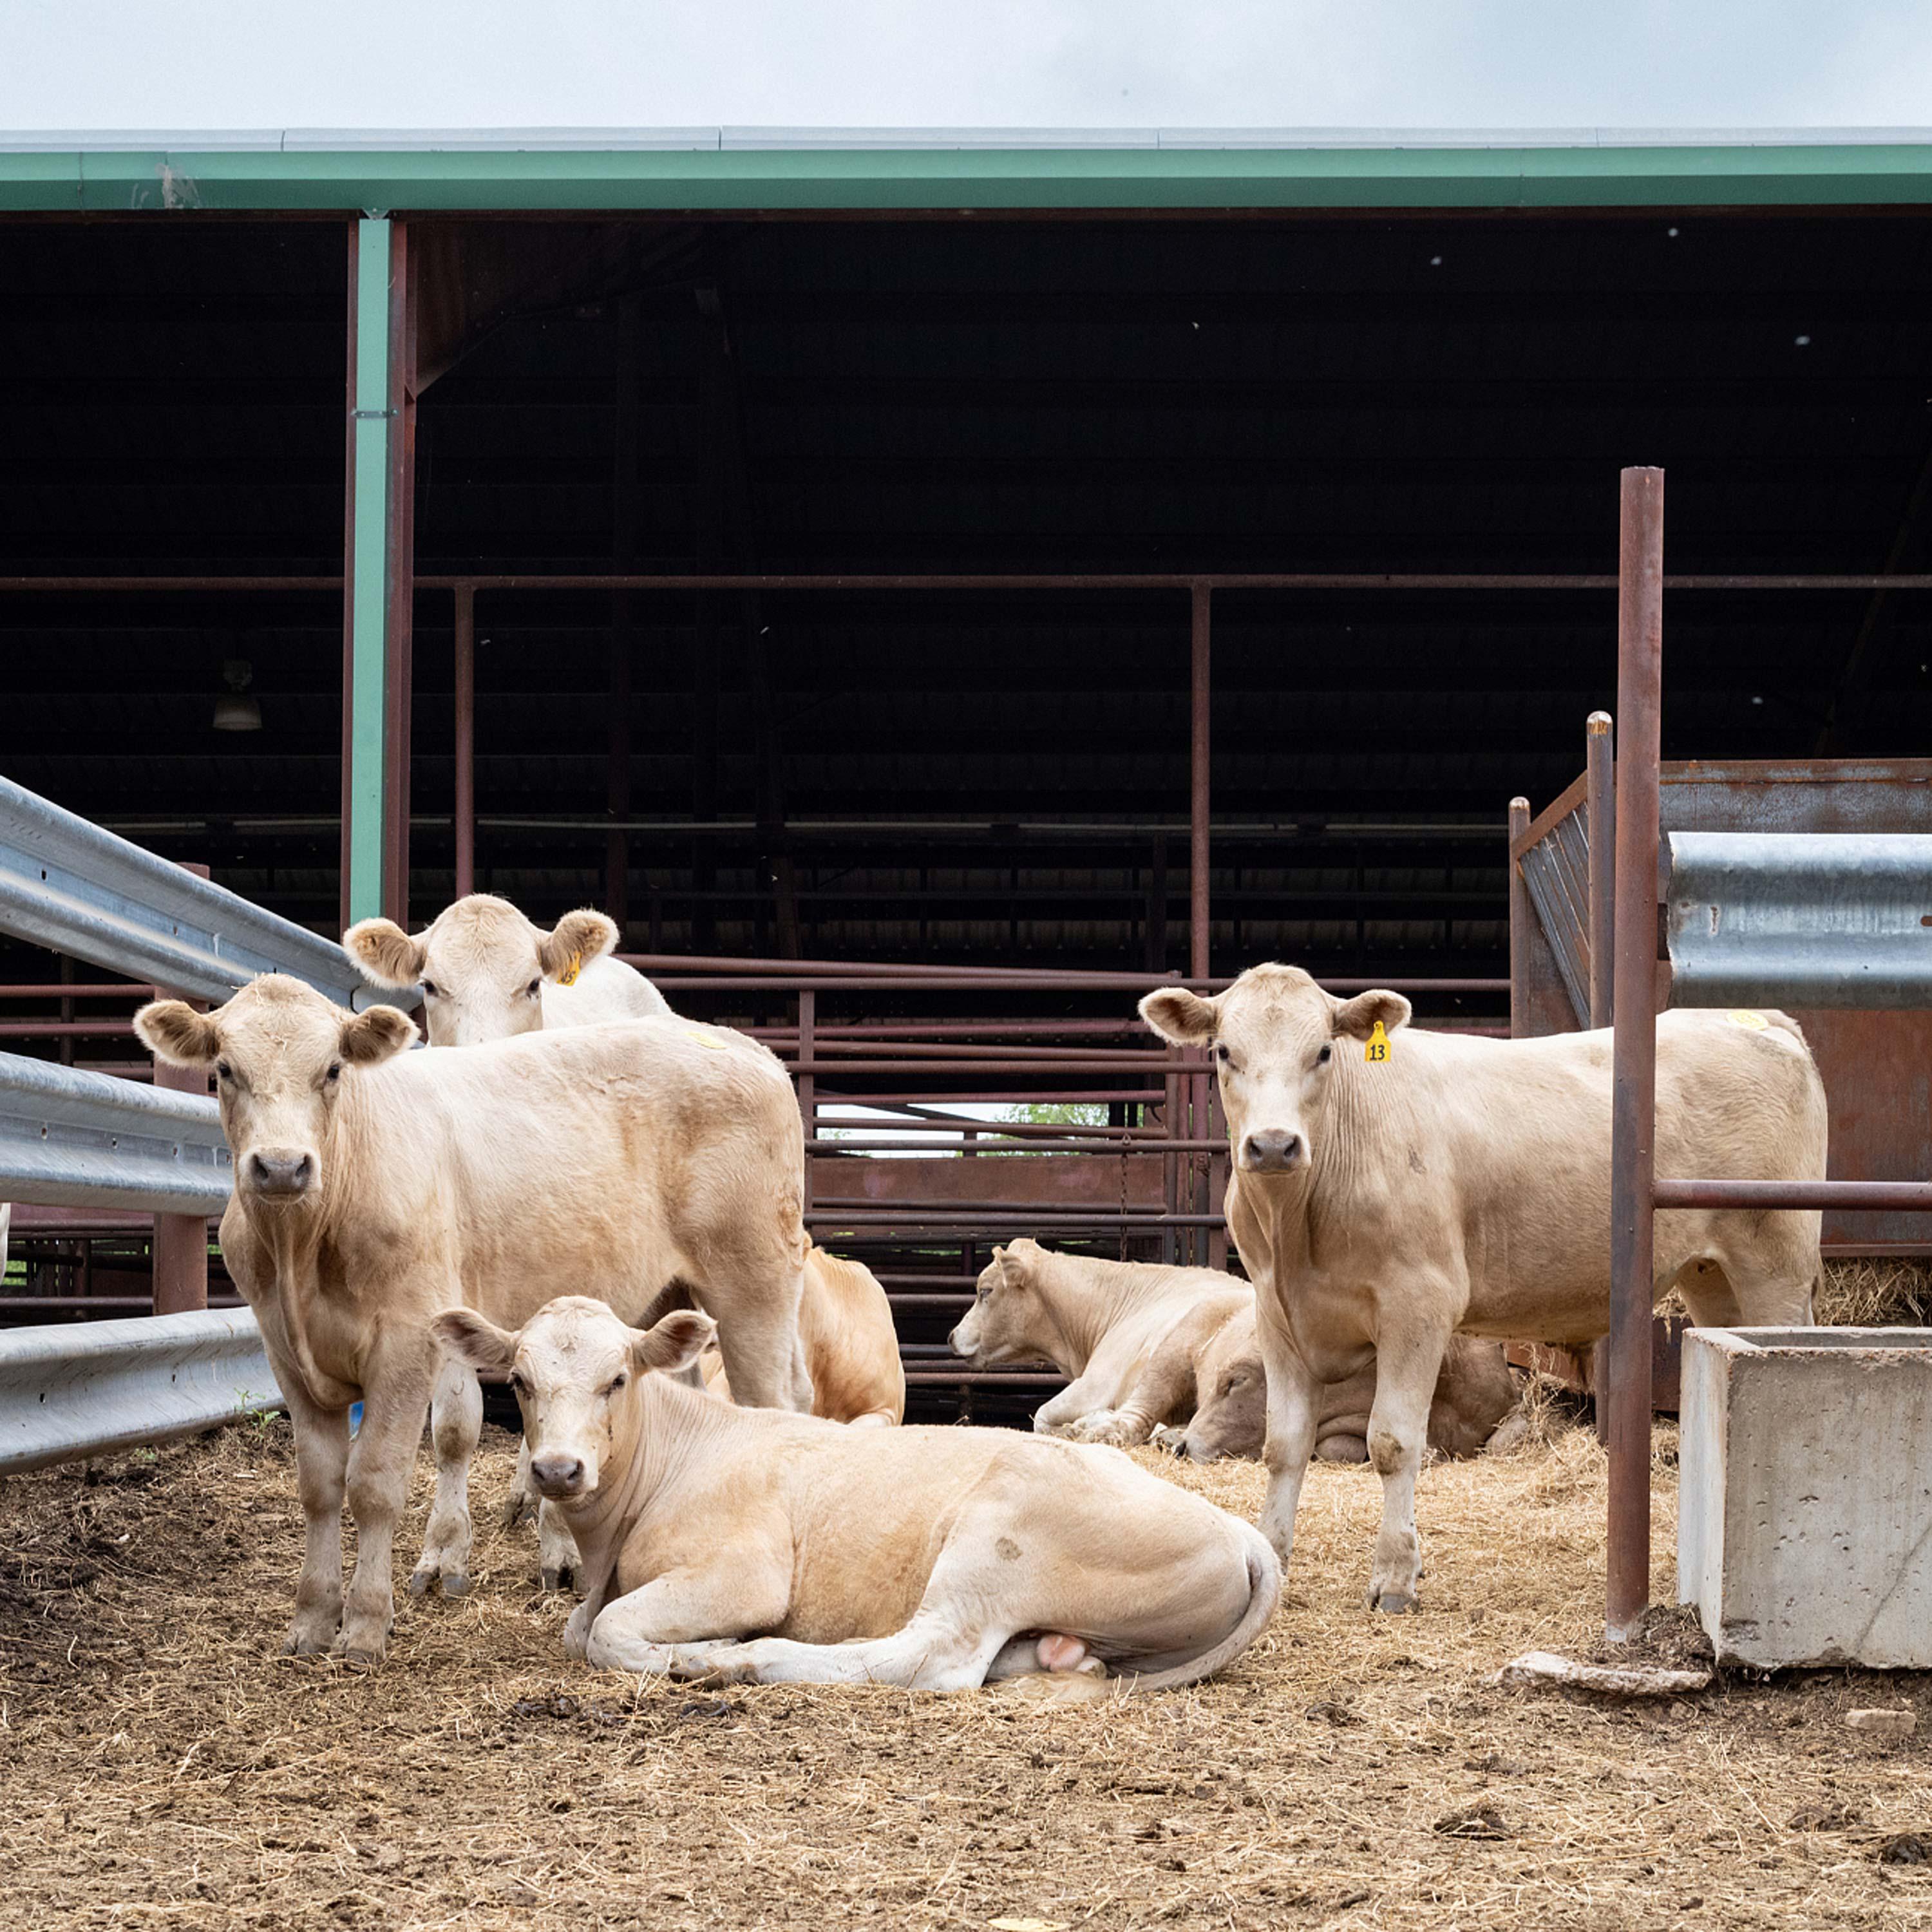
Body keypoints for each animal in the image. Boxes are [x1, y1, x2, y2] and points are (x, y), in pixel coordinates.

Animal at [132, 974, 810, 1663]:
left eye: (333, 1070)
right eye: (223, 1070)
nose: (280, 1165)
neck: (302, 1246)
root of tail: (743, 1048)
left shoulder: (405, 1342)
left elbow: (374, 1482)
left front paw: (366, 1625)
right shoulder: (284, 1352)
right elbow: (320, 1485)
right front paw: (313, 1621)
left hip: (754, 1281)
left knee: (775, 1399)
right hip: (668, 1296)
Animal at [433, 1295, 1280, 1694]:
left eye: (617, 1379)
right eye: (519, 1381)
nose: (557, 1470)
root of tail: (1242, 1533)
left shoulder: (746, 1571)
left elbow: (605, 1633)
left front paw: (698, 1651)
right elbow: (581, 1628)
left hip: (997, 1539)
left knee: (929, 1657)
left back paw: (746, 1660)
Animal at [947, 1239, 1520, 1464]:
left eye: (985, 1290)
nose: (952, 1338)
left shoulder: (1096, 1381)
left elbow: (1044, 1417)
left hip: (1173, 1350)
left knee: (1133, 1417)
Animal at [1141, 964, 1826, 1614]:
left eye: (1324, 1052)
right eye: (1224, 1051)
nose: (1274, 1145)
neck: (1298, 1227)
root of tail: (1755, 1020)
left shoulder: (1419, 1304)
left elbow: (1393, 1442)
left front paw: (1395, 1578)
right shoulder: (1278, 1312)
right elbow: (1284, 1444)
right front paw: (1274, 1561)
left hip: (1777, 1261)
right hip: (1712, 1275)